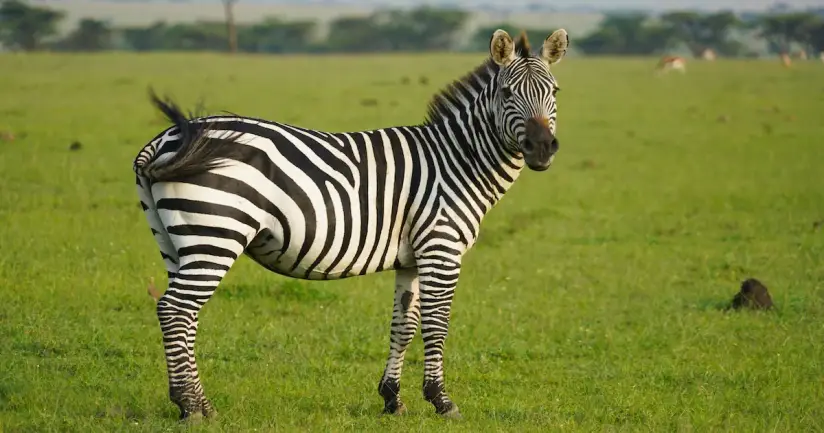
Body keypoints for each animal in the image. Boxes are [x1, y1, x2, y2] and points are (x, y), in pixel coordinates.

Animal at [133, 28, 569, 421]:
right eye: (507, 94)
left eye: (555, 91)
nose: (542, 148)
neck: (456, 160)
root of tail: (166, 139)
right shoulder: (440, 250)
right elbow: (436, 325)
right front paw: (442, 401)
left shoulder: (412, 259)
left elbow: (403, 325)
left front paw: (392, 399)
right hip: (215, 233)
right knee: (176, 310)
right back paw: (193, 407)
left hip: (176, 242)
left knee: (180, 316)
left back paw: (193, 403)